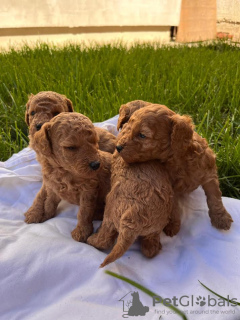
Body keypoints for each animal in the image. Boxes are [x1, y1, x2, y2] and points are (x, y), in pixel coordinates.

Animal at [23, 112, 112, 242]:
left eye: (95, 141)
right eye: (71, 147)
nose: (96, 164)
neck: (64, 171)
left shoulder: (89, 190)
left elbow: (84, 212)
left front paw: (81, 232)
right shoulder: (53, 187)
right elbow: (49, 203)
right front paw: (45, 215)